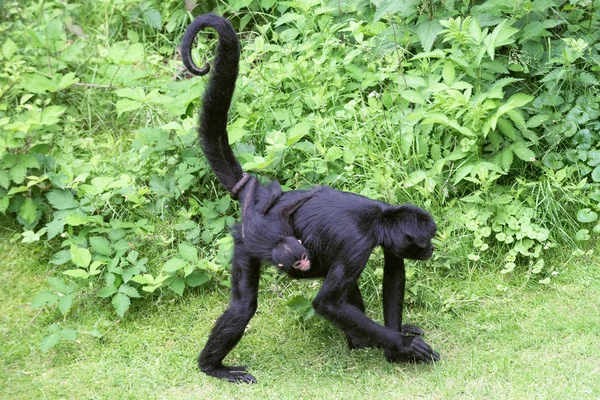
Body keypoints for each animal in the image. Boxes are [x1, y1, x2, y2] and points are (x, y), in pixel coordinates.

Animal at [180, 13, 438, 384]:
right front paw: (402, 347)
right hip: (247, 242)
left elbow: (394, 269)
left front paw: (395, 343)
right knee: (244, 307)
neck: (376, 219)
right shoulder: (357, 245)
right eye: (426, 240)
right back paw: (212, 366)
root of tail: (258, 202)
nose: (432, 250)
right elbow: (326, 304)